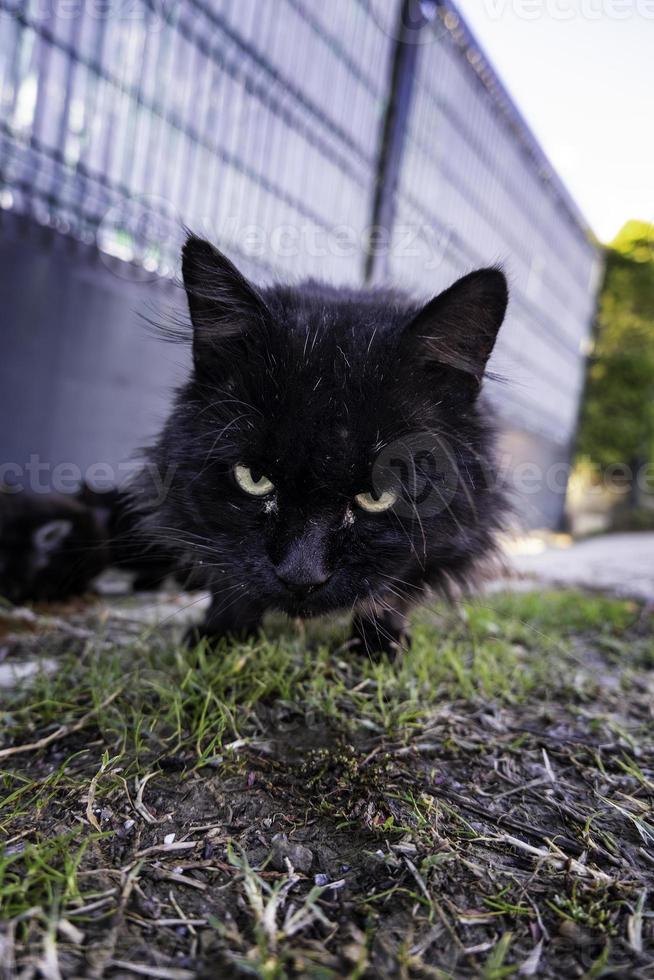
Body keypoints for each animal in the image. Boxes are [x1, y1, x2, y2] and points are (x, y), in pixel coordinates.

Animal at [133, 234, 510, 656]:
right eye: (254, 479)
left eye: (379, 496)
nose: (301, 577)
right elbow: (229, 574)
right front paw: (222, 634)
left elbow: (395, 588)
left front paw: (378, 645)